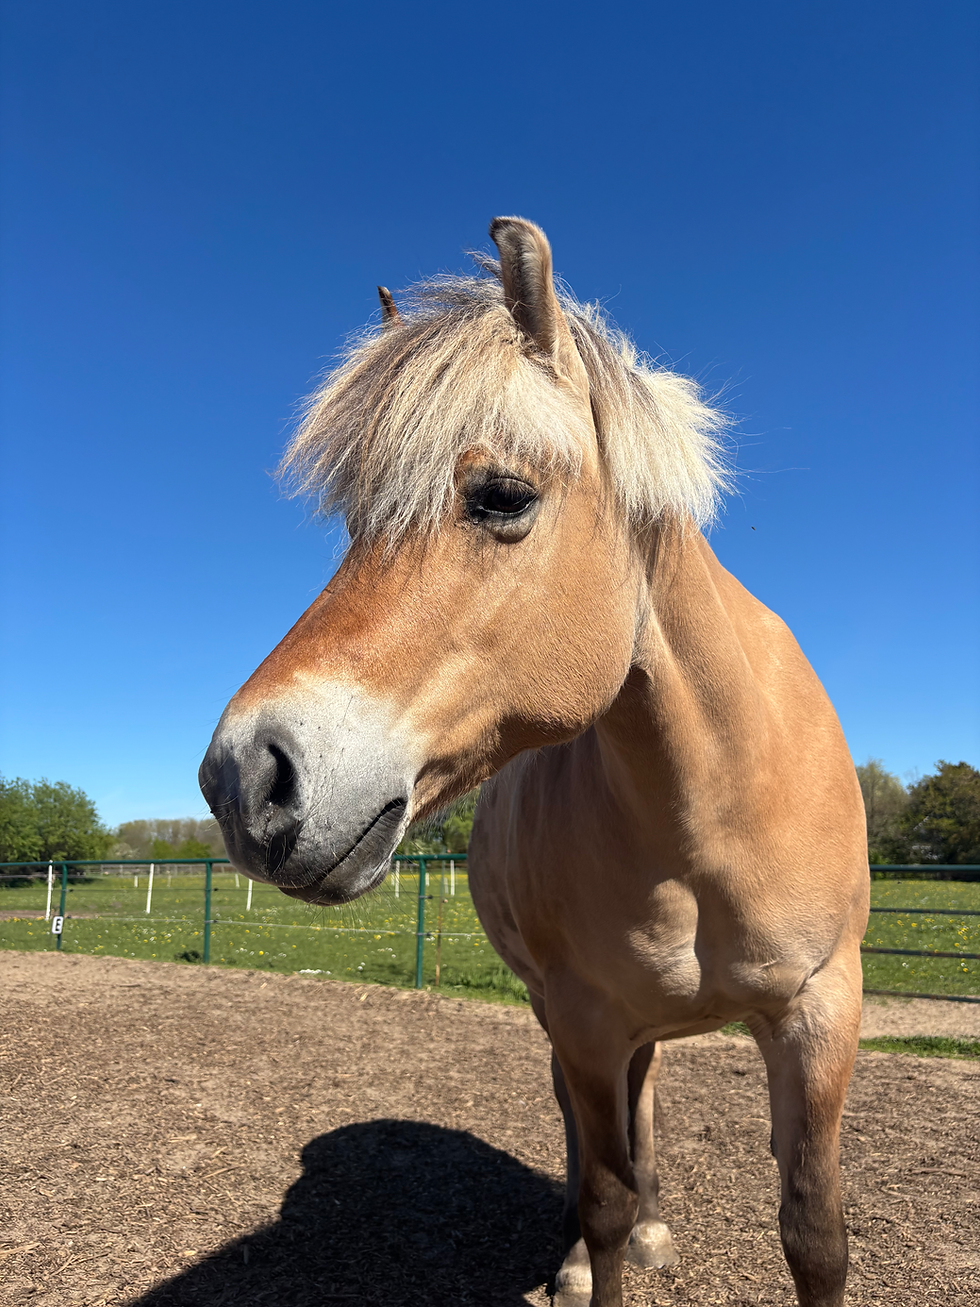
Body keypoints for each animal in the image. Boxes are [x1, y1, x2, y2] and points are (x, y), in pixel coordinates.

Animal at [200, 217, 869, 1307]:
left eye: (501, 495)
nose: (242, 778)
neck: (715, 806)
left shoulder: (819, 1009)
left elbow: (813, 1229)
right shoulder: (586, 1016)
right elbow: (599, 1192)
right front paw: (593, 1258)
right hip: (557, 1013)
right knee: (585, 1132)